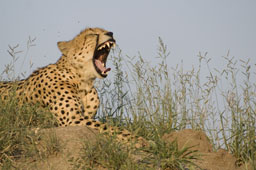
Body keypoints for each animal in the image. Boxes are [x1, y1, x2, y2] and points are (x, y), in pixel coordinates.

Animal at [0, 27, 147, 147]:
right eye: (92, 34)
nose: (110, 33)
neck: (82, 81)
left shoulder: (85, 116)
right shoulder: (72, 120)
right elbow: (109, 127)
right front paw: (138, 139)